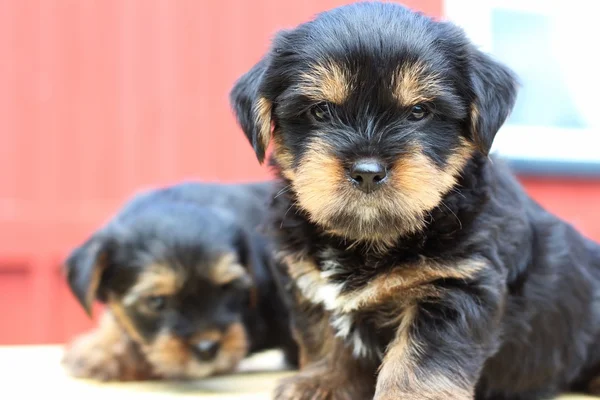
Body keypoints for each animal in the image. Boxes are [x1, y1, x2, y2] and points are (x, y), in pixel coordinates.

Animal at [231, 3, 600, 400]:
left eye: (419, 112)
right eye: (321, 111)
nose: (367, 171)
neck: (371, 239)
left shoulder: (454, 285)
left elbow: (419, 362)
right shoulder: (310, 285)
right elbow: (323, 337)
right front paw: (323, 381)